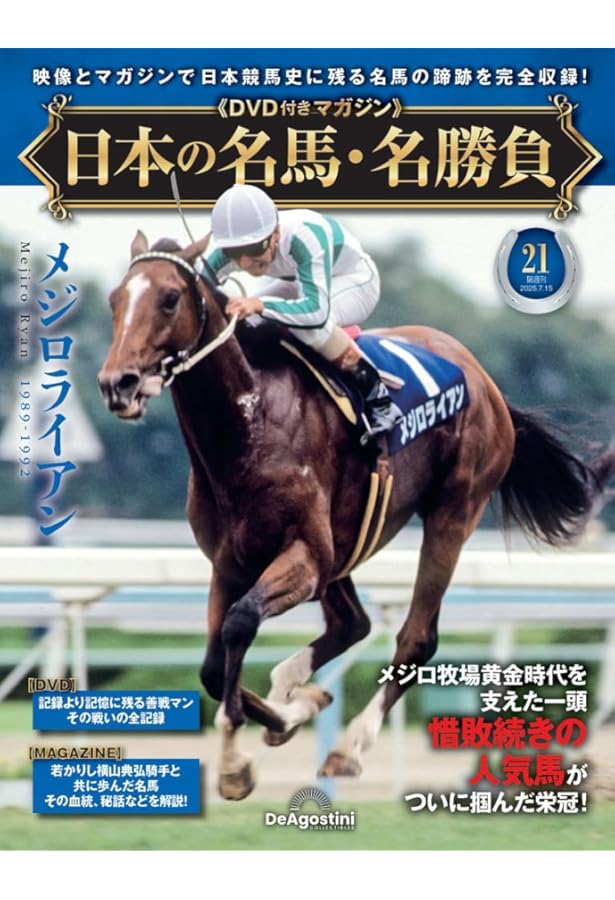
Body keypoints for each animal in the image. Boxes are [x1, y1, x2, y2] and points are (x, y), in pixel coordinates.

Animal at [98, 231, 614, 801]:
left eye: (170, 299)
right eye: (115, 300)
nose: (118, 383)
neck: (249, 428)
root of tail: (485, 379)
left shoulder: (304, 555)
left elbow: (240, 624)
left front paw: (237, 760)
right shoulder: (230, 563)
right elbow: (214, 666)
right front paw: (280, 722)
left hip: (453, 511)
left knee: (415, 636)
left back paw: (348, 746)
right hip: (345, 544)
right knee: (353, 623)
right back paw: (296, 689)